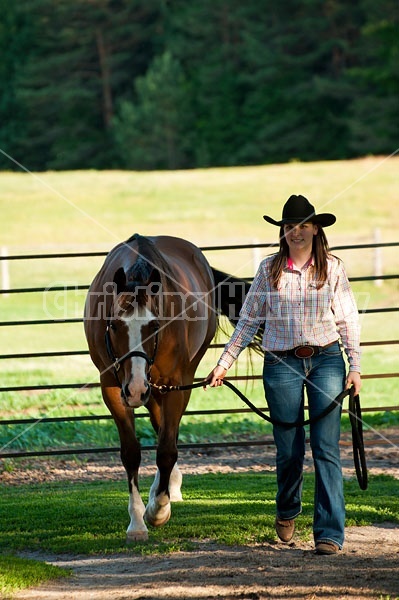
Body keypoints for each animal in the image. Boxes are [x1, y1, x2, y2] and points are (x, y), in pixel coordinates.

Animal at [83, 232, 256, 540]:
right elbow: (131, 452)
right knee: (158, 422)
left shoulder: (177, 384)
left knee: (167, 432)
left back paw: (166, 490)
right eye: (113, 325)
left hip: (168, 383)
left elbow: (166, 449)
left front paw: (158, 510)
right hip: (150, 389)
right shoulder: (113, 388)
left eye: (155, 326)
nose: (135, 388)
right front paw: (137, 522)